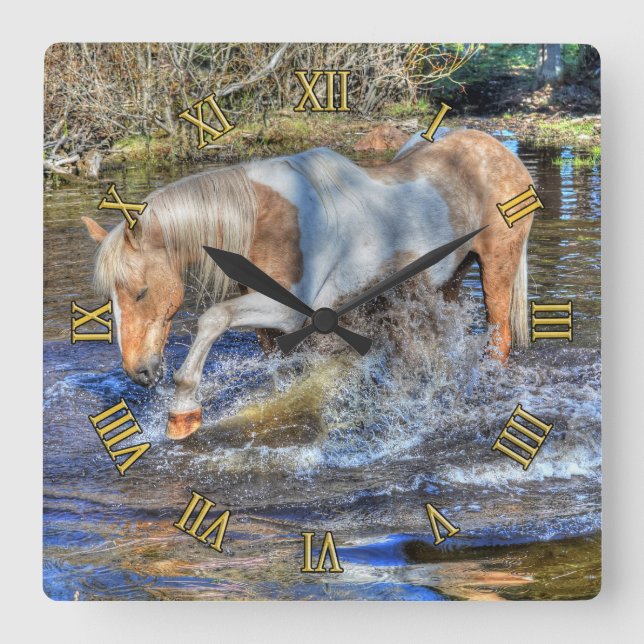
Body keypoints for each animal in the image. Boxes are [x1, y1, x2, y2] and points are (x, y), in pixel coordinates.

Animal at [82, 129, 534, 440]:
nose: (139, 372)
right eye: (110, 299)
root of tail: (500, 151)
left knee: (500, 338)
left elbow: (213, 319)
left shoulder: (285, 312)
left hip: (497, 268)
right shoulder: (271, 327)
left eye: (140, 292)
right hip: (449, 280)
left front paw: (183, 412)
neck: (269, 220)